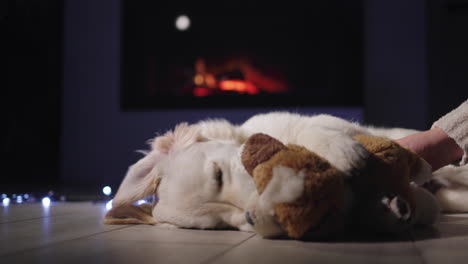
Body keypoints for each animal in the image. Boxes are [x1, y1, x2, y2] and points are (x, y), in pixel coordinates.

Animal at [104, 111, 468, 235]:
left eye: (218, 175)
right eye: (219, 227)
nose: (268, 216)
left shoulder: (321, 121)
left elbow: (311, 128)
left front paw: (343, 152)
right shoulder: (429, 203)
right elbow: (421, 204)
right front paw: (389, 208)